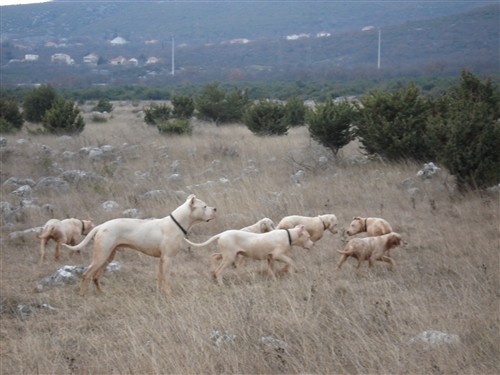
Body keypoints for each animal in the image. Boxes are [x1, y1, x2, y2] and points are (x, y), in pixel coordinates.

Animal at [63, 195, 216, 298]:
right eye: (204, 206)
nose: (215, 208)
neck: (176, 223)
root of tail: (101, 226)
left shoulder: (162, 260)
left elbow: (160, 277)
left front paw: (160, 293)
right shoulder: (167, 259)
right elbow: (166, 279)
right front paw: (169, 295)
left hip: (108, 257)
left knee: (95, 276)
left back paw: (102, 293)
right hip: (101, 256)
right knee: (86, 274)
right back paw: (82, 295)